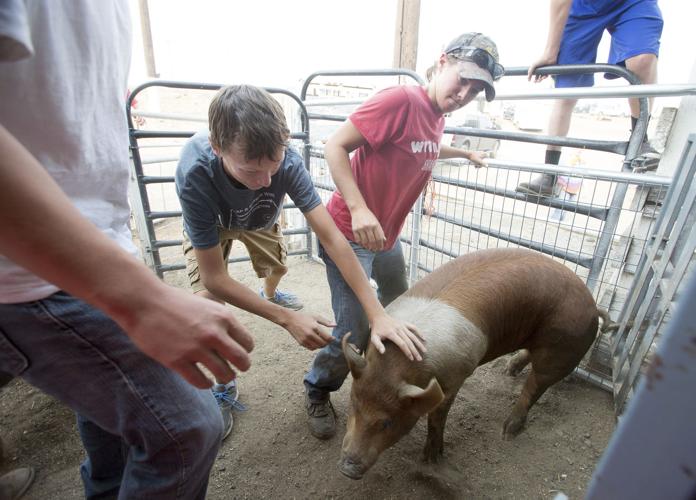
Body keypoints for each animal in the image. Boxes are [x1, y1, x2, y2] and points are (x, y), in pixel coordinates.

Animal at [338, 248, 608, 478]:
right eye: (353, 404)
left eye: (387, 422)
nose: (347, 469)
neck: (401, 363)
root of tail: (593, 305)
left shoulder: (457, 374)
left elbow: (437, 416)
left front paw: (431, 460)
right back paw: (509, 370)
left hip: (561, 348)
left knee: (535, 386)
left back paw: (507, 431)